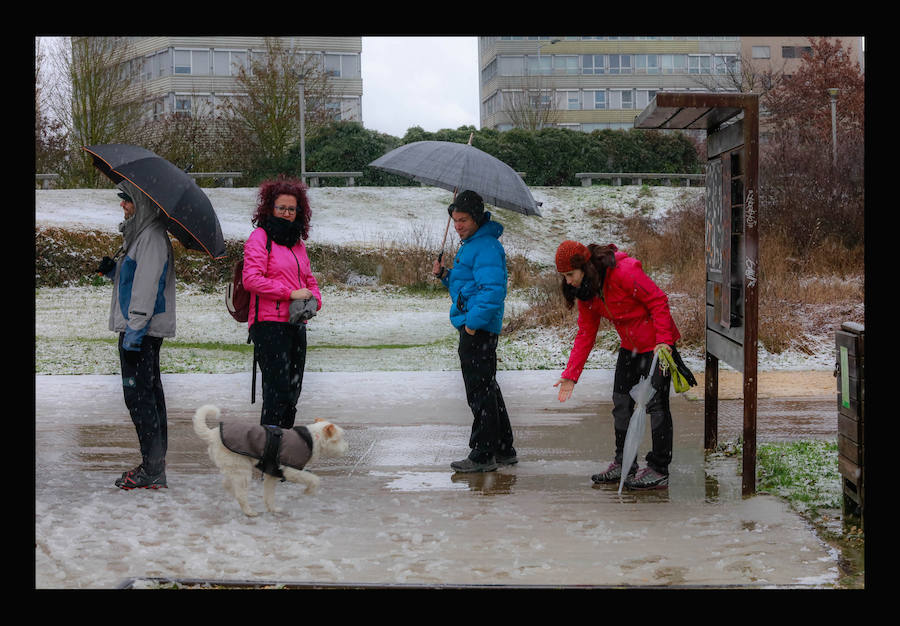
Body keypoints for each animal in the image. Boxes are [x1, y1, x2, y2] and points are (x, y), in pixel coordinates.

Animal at [193, 402, 348, 516]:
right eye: (340, 438)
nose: (347, 448)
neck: (312, 438)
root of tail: (213, 434)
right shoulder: (291, 470)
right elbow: (314, 479)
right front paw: (308, 491)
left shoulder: (271, 475)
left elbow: (269, 495)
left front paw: (273, 509)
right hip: (242, 471)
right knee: (240, 494)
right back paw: (249, 511)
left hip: (235, 468)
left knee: (229, 486)